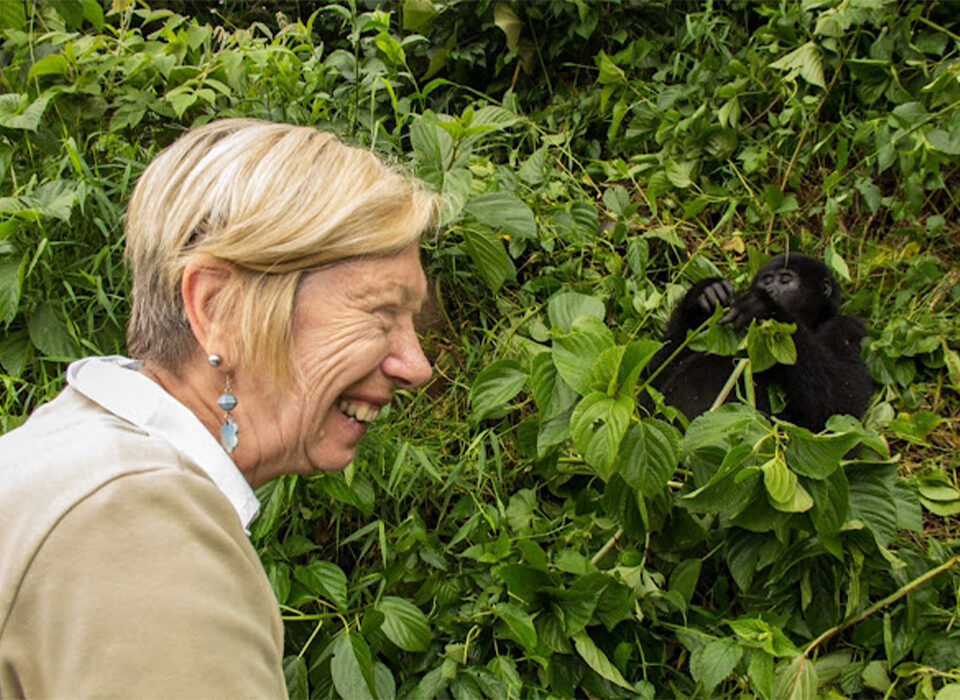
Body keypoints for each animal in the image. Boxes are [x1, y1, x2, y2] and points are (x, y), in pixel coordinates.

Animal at [647, 254, 874, 430]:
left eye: (785, 280)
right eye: (766, 280)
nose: (770, 290)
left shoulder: (848, 328)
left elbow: (842, 403)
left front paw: (766, 309)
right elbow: (654, 375)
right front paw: (705, 293)